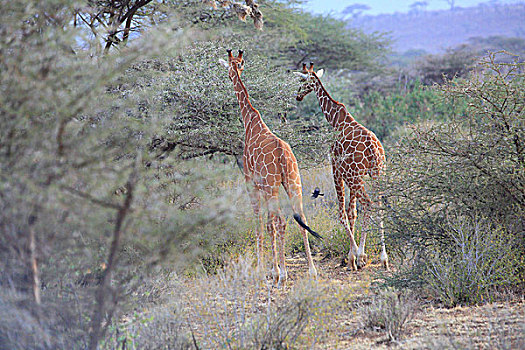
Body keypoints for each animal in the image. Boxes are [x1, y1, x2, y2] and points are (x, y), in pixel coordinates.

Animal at [217, 50, 320, 284]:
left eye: (229, 66)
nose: (229, 75)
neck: (250, 121)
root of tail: (282, 154)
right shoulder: (267, 186)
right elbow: (269, 224)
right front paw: (273, 268)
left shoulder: (252, 182)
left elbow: (261, 224)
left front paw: (266, 269)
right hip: (293, 182)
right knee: (300, 218)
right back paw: (311, 270)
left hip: (273, 186)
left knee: (281, 221)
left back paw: (283, 275)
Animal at [292, 62, 386, 270]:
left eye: (302, 81)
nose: (298, 96)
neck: (336, 121)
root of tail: (373, 148)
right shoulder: (354, 174)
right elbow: (352, 213)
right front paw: (352, 257)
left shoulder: (337, 170)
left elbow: (342, 214)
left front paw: (354, 257)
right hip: (377, 173)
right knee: (378, 204)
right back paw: (384, 258)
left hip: (355, 177)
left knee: (369, 204)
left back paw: (362, 255)